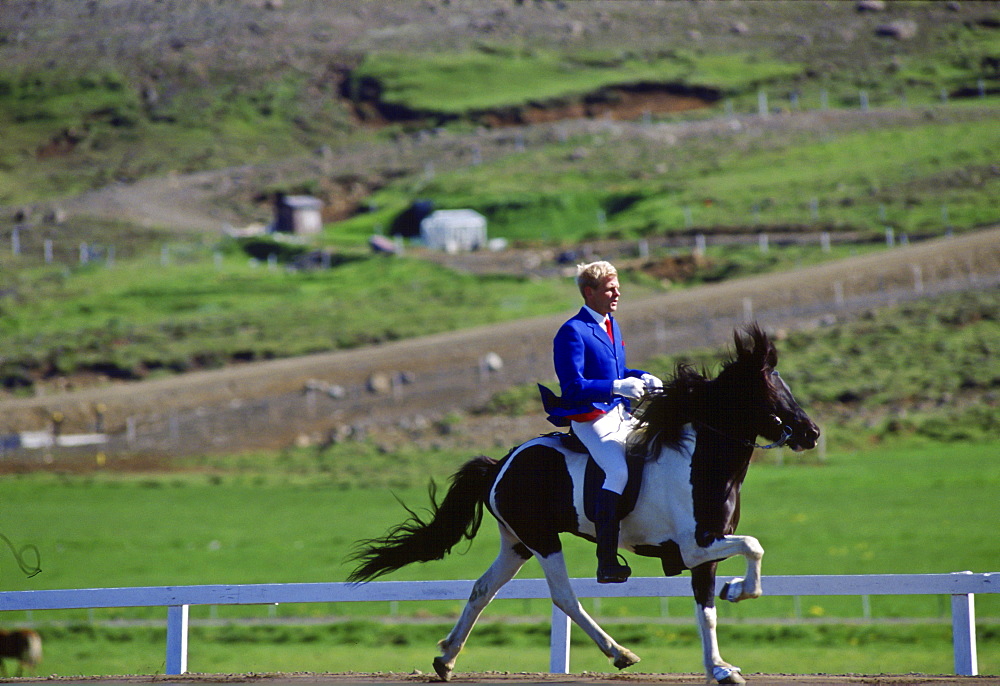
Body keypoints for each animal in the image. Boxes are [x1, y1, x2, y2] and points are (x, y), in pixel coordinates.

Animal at [352, 326, 820, 684]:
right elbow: (753, 547)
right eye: (768, 389)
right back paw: (619, 652)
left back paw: (446, 658)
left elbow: (707, 609)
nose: (811, 433)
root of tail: (503, 461)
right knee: (564, 596)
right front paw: (738, 592)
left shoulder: (707, 549)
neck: (700, 458)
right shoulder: (695, 546)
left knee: (483, 589)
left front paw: (719, 665)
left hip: (517, 543)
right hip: (543, 540)